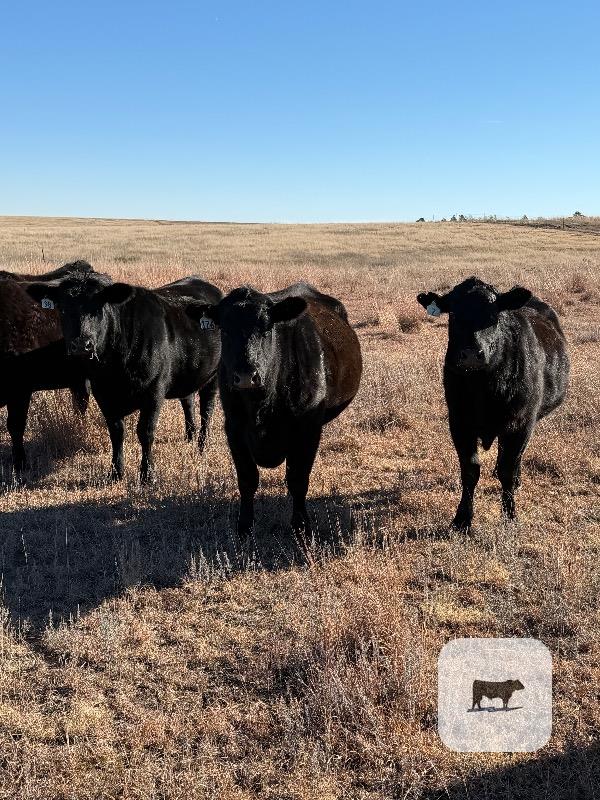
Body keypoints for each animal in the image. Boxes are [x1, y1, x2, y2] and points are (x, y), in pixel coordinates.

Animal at [27, 272, 222, 483]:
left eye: (99, 306)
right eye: (62, 308)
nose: (81, 345)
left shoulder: (154, 392)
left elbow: (145, 432)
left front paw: (147, 474)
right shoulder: (103, 394)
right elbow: (117, 432)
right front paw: (116, 472)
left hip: (213, 376)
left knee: (207, 409)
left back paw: (202, 445)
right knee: (188, 400)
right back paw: (190, 436)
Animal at [185, 283, 362, 536]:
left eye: (267, 329)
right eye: (225, 330)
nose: (246, 377)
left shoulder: (308, 428)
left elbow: (298, 479)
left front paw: (301, 526)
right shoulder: (234, 427)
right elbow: (247, 479)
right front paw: (244, 527)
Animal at [417, 276, 569, 530]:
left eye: (493, 314)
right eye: (453, 313)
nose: (470, 354)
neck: (483, 390)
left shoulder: (520, 423)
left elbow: (508, 468)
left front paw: (509, 516)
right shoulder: (459, 422)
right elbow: (470, 470)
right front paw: (462, 518)